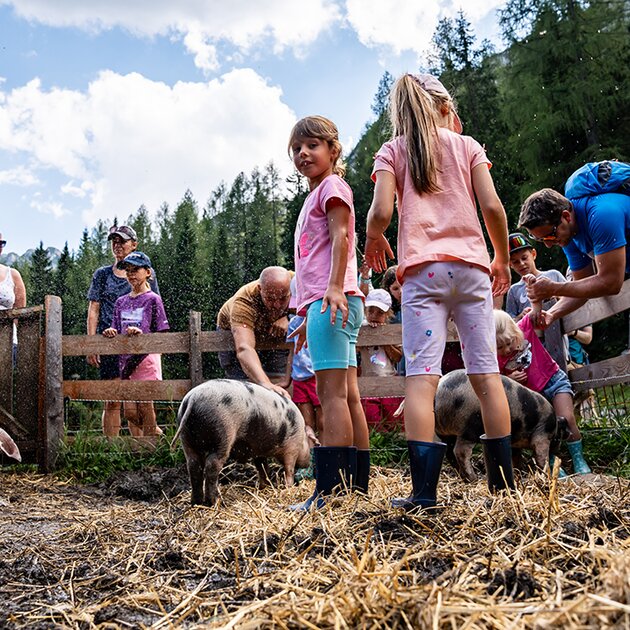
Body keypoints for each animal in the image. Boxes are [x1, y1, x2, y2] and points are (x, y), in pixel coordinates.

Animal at [172, 380, 318, 508]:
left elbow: (262, 467)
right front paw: (289, 487)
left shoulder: (259, 451)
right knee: (212, 465)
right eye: (309, 444)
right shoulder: (291, 448)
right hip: (222, 434)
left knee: (193, 466)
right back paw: (214, 502)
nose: (307, 463)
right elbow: (289, 469)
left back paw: (196, 503)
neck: (301, 436)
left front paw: (265, 486)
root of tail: (193, 397)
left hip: (187, 438)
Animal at [436, 370, 572, 484]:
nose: (570, 433)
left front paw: (520, 472)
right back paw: (474, 479)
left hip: (445, 433)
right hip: (469, 427)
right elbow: (541, 456)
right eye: (561, 434)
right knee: (460, 451)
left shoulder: (515, 442)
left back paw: (462, 476)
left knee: (449, 452)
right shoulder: (542, 435)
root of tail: (440, 392)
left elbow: (516, 457)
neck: (553, 425)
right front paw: (546, 474)